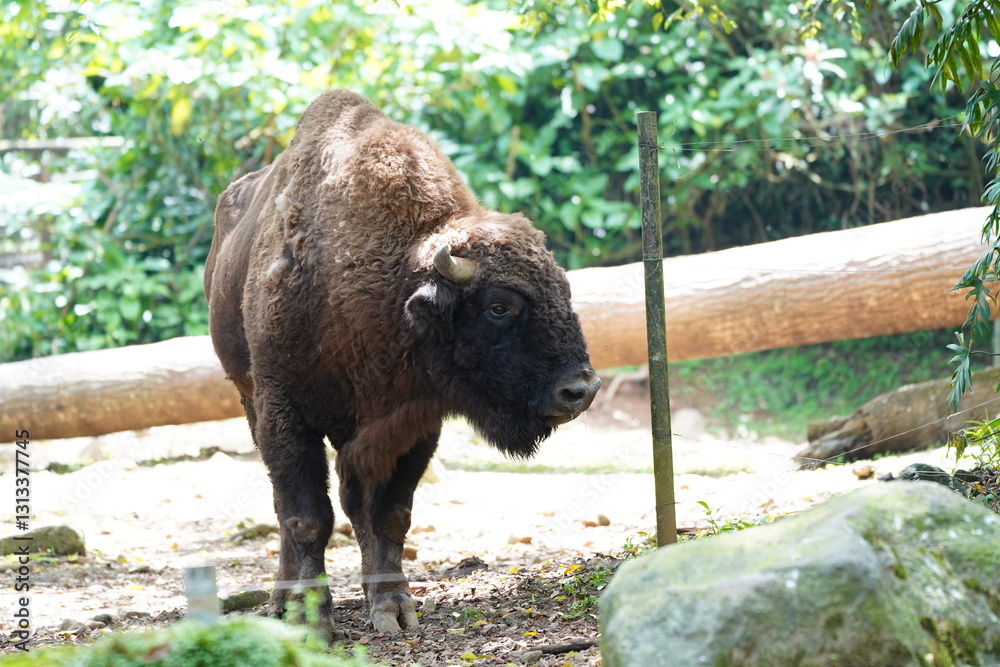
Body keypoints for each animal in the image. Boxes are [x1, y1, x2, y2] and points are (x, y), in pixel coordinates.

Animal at [204, 90, 600, 636]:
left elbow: (390, 513)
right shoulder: (285, 411)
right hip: (249, 397)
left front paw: (394, 607)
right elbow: (307, 517)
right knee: (290, 506)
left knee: (354, 501)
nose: (580, 389)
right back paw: (285, 603)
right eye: (499, 306)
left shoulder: (413, 424)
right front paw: (314, 620)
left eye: (565, 292)